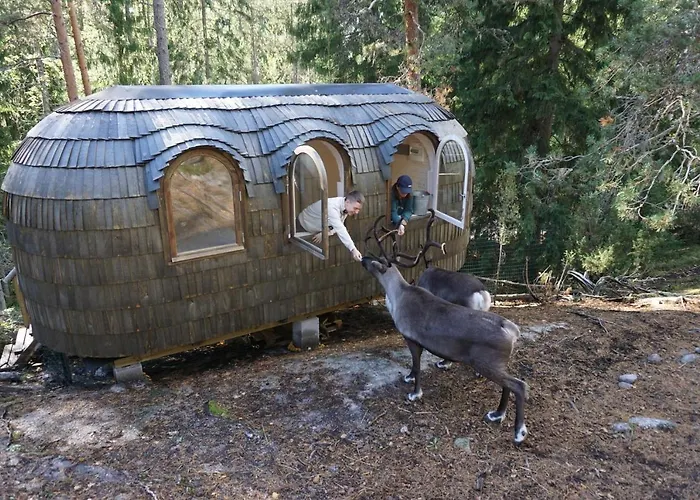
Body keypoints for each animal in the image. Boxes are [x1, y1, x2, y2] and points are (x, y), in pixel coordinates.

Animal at [362, 216, 529, 444]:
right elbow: (414, 366)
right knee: (508, 385)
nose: (362, 258)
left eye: (374, 261)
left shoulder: (411, 338)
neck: (397, 296)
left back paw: (519, 431)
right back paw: (497, 414)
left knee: (519, 385)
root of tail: (512, 331)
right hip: (499, 364)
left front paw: (415, 393)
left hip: (487, 363)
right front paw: (409, 377)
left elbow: (417, 364)